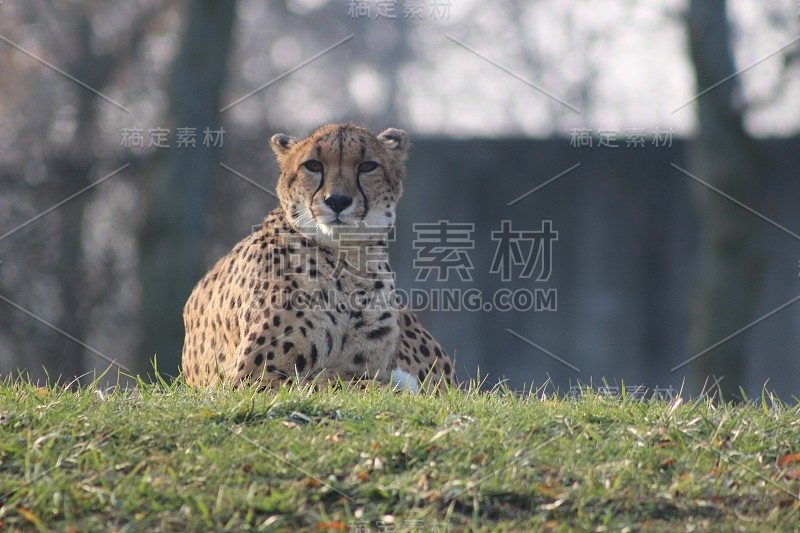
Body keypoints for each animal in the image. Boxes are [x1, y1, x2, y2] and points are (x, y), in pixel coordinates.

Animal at [182, 123, 456, 390]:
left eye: (368, 166)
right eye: (313, 165)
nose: (337, 201)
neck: (347, 262)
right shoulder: (251, 380)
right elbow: (338, 384)